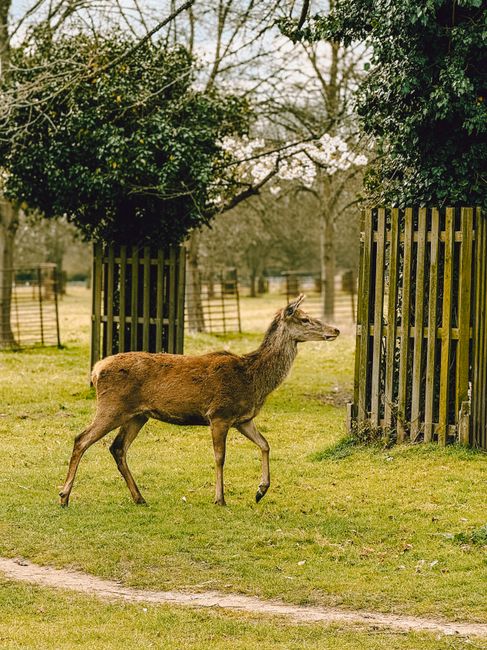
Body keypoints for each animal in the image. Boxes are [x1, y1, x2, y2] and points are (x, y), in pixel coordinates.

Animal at [59, 294, 339, 507]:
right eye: (305, 319)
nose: (335, 329)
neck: (253, 379)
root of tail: (96, 371)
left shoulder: (243, 419)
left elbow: (266, 444)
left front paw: (261, 490)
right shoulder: (219, 414)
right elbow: (220, 457)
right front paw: (220, 498)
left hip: (138, 415)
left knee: (117, 448)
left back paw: (139, 498)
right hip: (112, 407)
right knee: (81, 439)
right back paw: (64, 495)